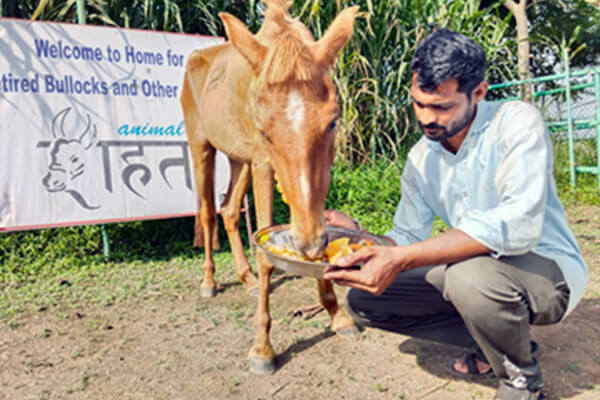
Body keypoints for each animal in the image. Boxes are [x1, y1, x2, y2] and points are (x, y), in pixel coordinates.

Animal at [180, 0, 358, 376]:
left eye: (332, 122)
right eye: (265, 130)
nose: (306, 243)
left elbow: (317, 238)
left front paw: (337, 314)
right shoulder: (263, 162)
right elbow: (265, 252)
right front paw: (262, 347)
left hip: (239, 159)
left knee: (230, 210)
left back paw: (245, 277)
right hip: (202, 147)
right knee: (208, 212)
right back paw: (210, 281)